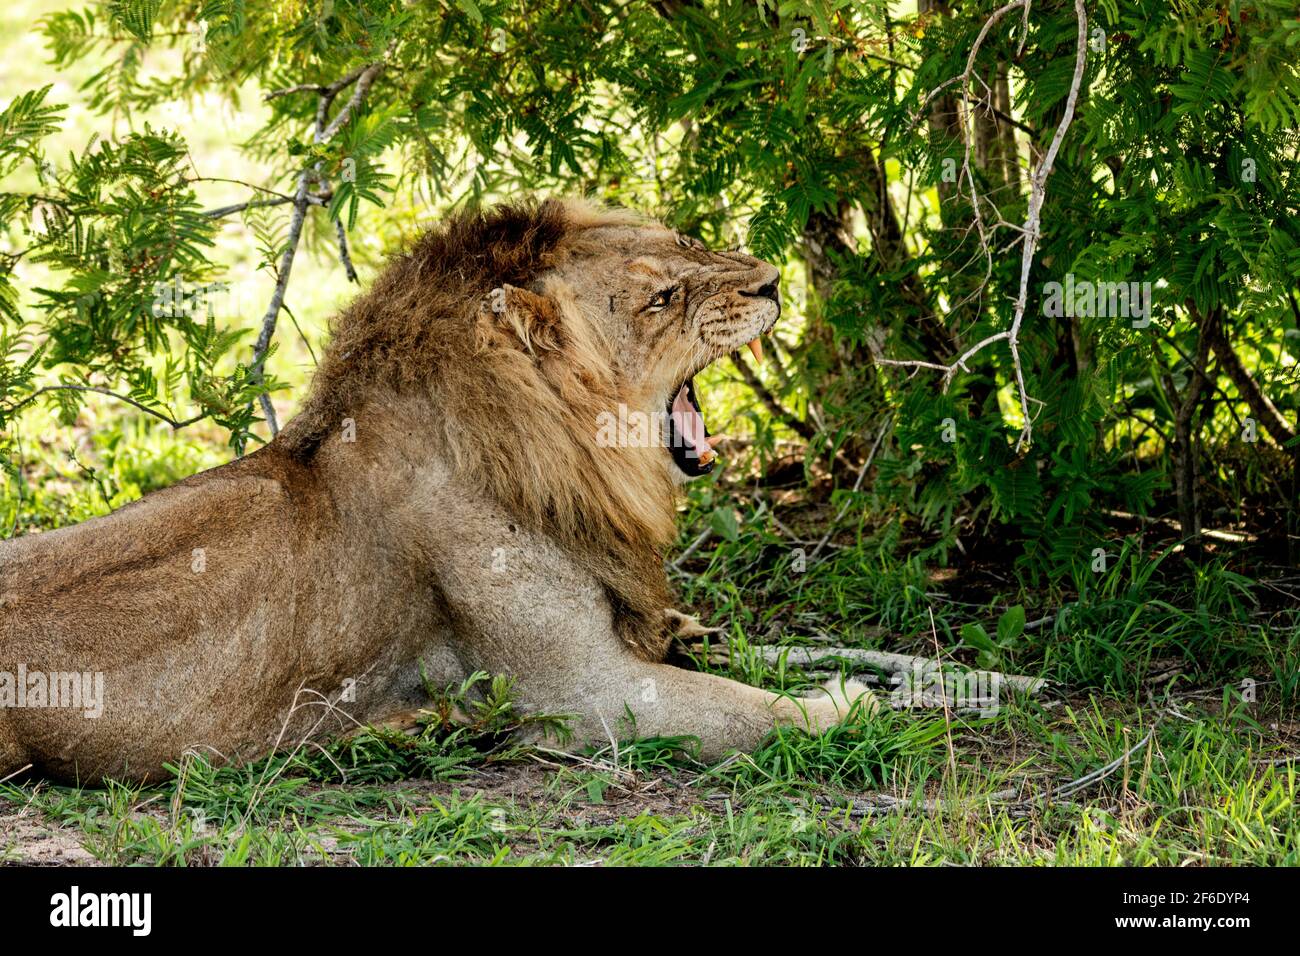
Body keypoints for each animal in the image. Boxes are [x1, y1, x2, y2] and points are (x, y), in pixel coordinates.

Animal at [0, 198, 872, 785]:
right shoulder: (582, 691)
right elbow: (743, 708)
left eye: (688, 242)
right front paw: (845, 703)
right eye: (662, 299)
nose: (772, 281)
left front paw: (695, 631)